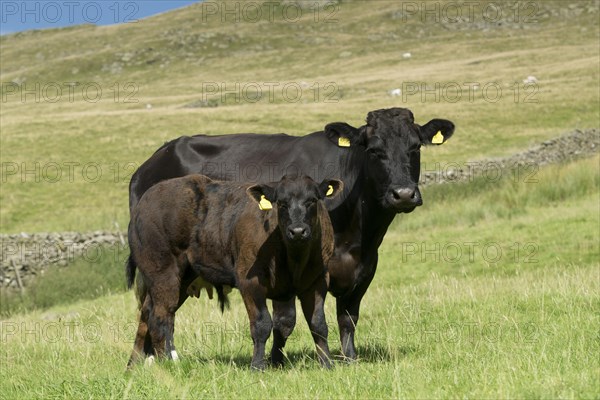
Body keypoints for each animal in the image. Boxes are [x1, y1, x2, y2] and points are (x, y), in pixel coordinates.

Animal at [126, 174, 342, 368]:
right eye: (281, 203)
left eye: (312, 200)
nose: (297, 231)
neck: (294, 259)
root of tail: (146, 199)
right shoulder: (249, 281)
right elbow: (262, 324)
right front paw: (258, 366)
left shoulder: (318, 280)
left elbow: (317, 323)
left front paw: (326, 363)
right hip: (162, 271)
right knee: (161, 315)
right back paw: (167, 362)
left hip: (181, 276)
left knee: (149, 311)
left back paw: (134, 364)